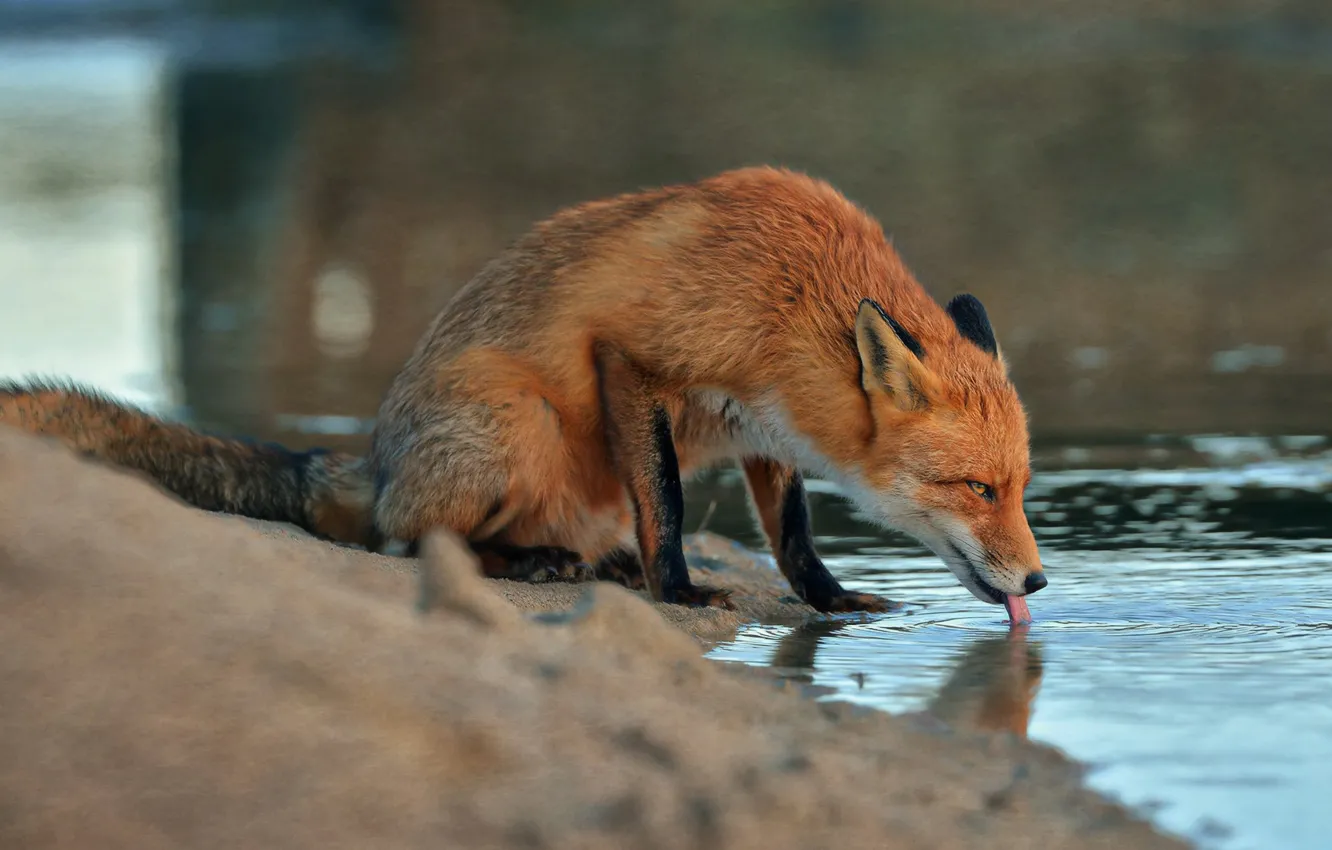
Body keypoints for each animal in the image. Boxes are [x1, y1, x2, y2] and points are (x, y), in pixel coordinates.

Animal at [1, 166, 1046, 619]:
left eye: (1021, 489)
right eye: (976, 489)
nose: (1039, 582)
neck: (788, 292)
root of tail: (373, 460)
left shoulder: (764, 425)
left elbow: (790, 537)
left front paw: (828, 599)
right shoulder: (632, 359)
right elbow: (668, 501)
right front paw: (676, 588)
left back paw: (592, 560)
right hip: (518, 420)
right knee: (404, 539)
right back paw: (536, 564)